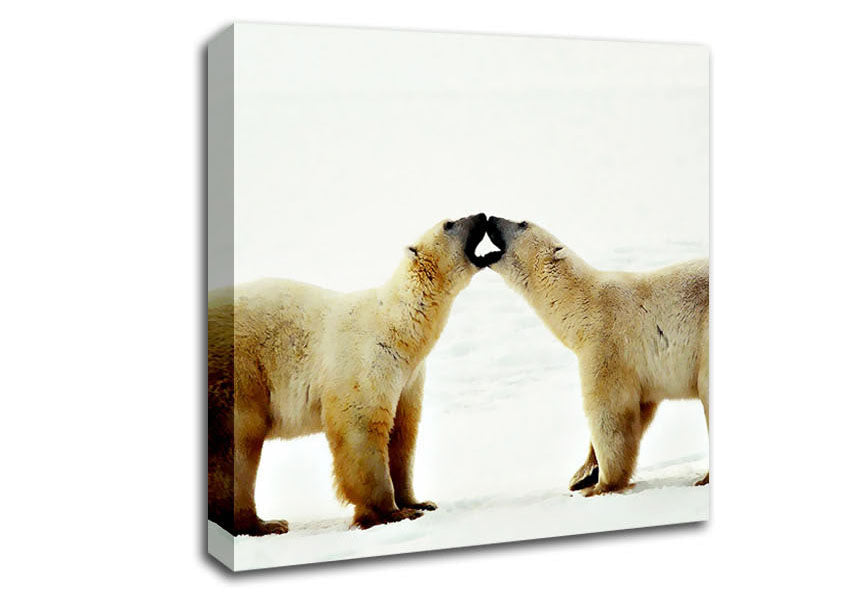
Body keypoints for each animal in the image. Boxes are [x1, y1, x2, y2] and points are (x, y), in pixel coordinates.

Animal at [208, 213, 501, 535]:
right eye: (450, 224)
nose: (482, 216)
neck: (398, 327)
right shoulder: (367, 359)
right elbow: (361, 427)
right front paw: (392, 512)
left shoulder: (409, 377)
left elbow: (403, 434)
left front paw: (419, 502)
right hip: (237, 373)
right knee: (236, 444)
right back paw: (264, 523)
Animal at [486, 216, 709, 496]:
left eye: (522, 223)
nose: (490, 218)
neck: (583, 305)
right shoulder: (644, 373)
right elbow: (640, 410)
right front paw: (583, 474)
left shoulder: (607, 345)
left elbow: (609, 413)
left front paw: (600, 485)